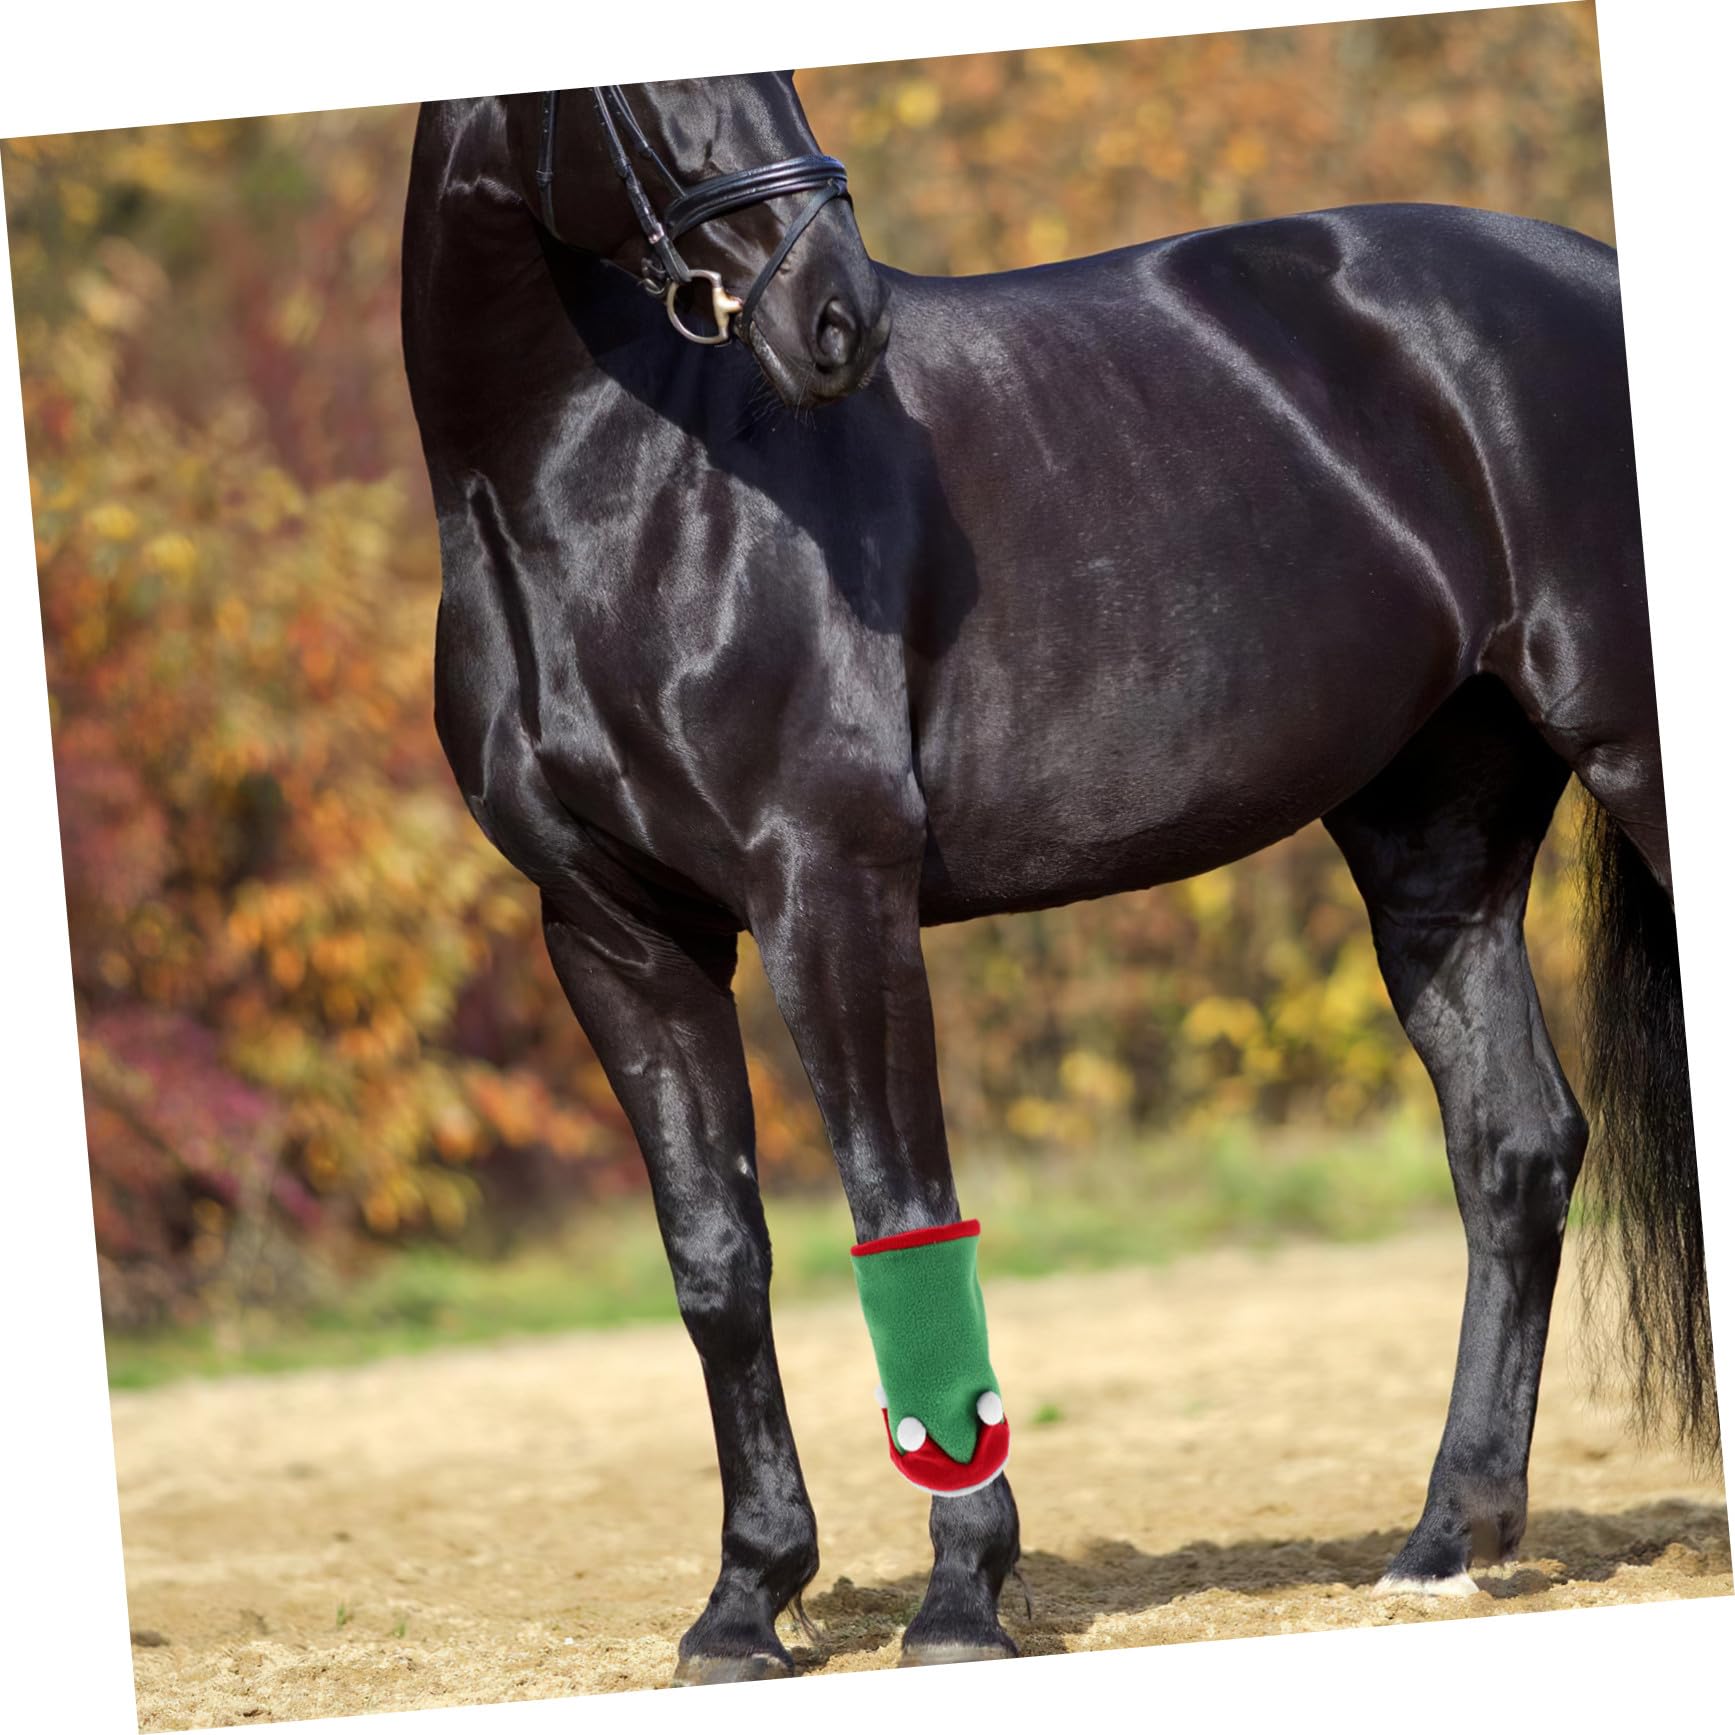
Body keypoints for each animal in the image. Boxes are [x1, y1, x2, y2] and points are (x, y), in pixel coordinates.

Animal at [401, 72, 1712, 1682]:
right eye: (631, 85)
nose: (835, 320)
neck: (602, 491)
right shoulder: (614, 935)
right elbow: (716, 1259)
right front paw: (743, 1603)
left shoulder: (829, 889)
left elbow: (901, 1214)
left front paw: (962, 1592)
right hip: (1432, 841)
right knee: (1513, 1146)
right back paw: (1440, 1543)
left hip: (1631, 752)